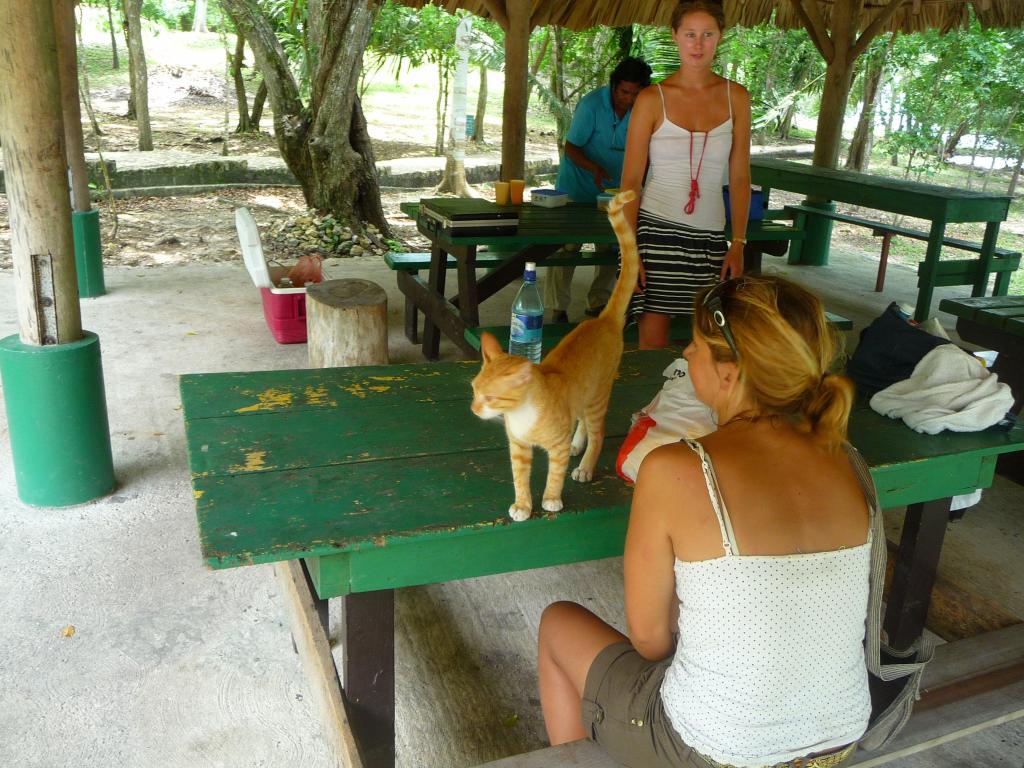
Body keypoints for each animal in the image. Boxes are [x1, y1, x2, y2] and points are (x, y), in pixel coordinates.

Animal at [468, 191, 634, 524]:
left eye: (490, 398)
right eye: (473, 391)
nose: (474, 409)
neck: (521, 415)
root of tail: (603, 319)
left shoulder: (555, 448)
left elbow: (555, 475)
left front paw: (551, 499)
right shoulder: (518, 448)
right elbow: (520, 479)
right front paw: (522, 505)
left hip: (598, 397)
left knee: (598, 432)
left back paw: (585, 465)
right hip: (585, 396)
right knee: (582, 422)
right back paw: (578, 443)